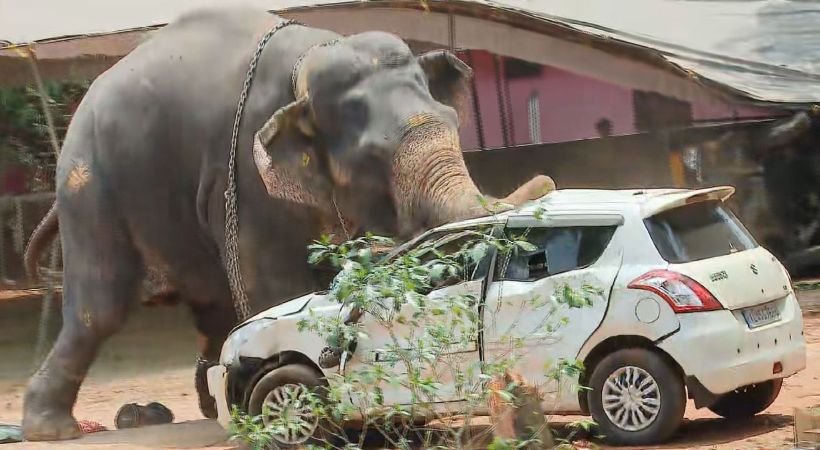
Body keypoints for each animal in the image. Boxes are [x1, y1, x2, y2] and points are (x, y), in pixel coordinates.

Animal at [21, 6, 555, 440]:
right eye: (371, 157)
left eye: (453, 121)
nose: (547, 180)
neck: (315, 56)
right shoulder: (243, 173)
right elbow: (273, 285)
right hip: (90, 187)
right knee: (99, 309)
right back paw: (55, 428)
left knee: (211, 306)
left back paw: (194, 410)